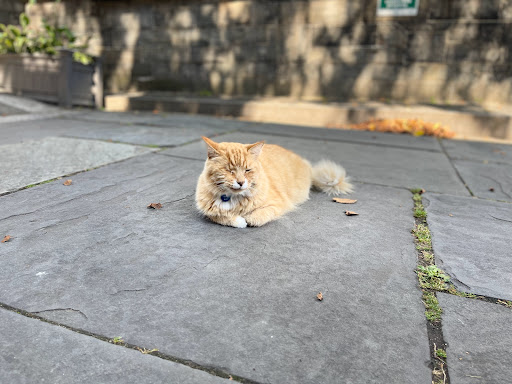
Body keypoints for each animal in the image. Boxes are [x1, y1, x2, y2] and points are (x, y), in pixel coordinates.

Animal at [194, 136, 354, 228]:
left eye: (247, 170)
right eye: (229, 170)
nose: (240, 182)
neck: (232, 199)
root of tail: (308, 166)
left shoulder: (277, 204)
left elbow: (257, 216)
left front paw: (248, 218)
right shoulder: (209, 211)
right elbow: (221, 217)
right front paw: (238, 220)